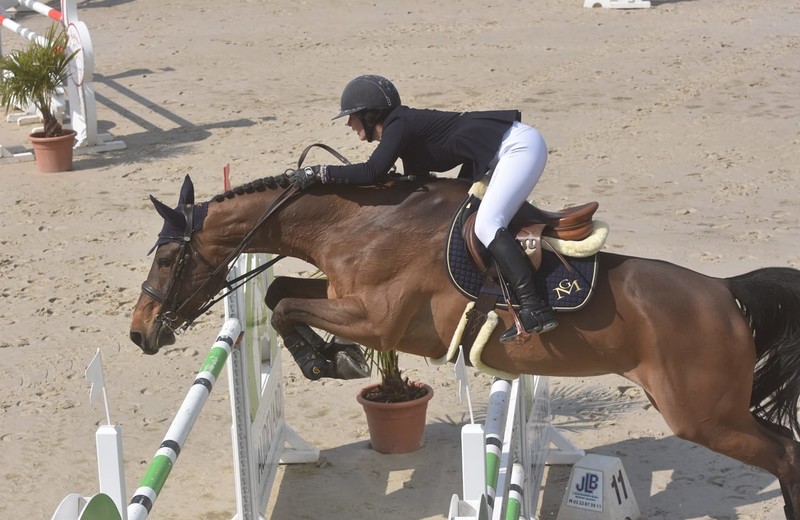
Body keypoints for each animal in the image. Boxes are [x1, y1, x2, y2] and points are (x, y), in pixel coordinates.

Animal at [131, 173, 800, 516]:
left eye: (166, 258)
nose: (140, 332)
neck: (357, 223)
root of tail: (724, 291)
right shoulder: (347, 298)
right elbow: (280, 294)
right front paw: (327, 356)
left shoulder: (378, 321)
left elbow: (289, 304)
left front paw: (330, 358)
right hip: (708, 411)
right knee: (787, 445)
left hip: (702, 415)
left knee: (785, 453)